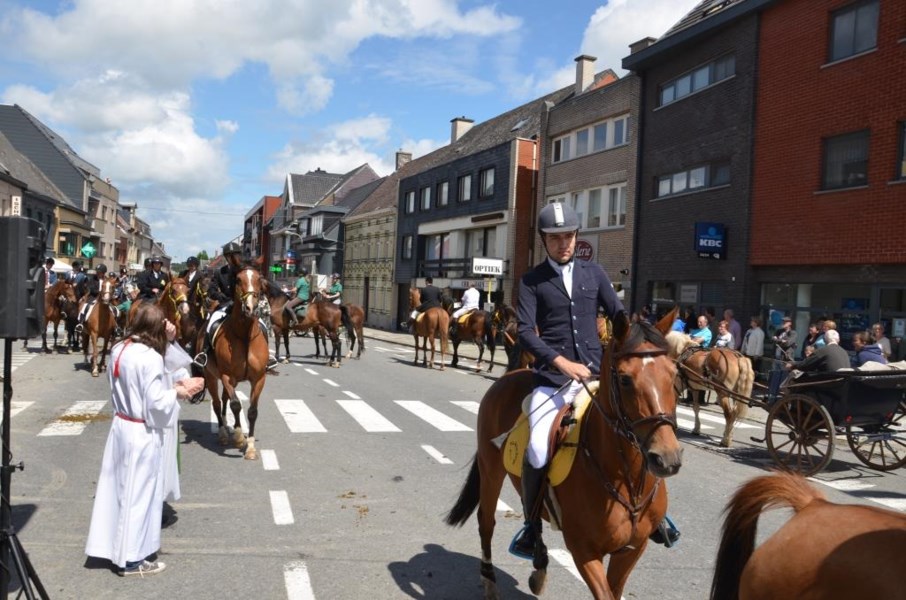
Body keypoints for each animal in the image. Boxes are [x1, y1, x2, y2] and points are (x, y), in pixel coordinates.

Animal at [206, 266, 270, 460]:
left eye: (259, 279)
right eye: (238, 280)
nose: (251, 308)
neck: (244, 335)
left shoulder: (259, 378)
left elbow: (252, 411)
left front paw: (250, 447)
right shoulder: (227, 375)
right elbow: (235, 405)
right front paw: (240, 437)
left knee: (224, 399)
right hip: (210, 376)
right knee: (217, 403)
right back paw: (223, 434)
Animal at [442, 312, 680, 596]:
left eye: (674, 375)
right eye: (625, 379)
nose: (666, 459)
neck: (626, 479)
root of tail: (509, 376)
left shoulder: (632, 550)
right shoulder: (584, 551)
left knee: (530, 508)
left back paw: (537, 560)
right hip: (491, 473)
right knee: (486, 522)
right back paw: (490, 579)